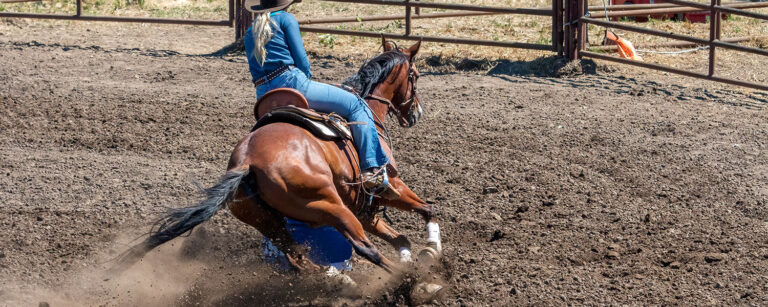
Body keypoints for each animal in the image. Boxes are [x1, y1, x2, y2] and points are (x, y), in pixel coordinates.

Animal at [111, 38, 440, 280]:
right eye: (415, 76)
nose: (415, 113)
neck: (369, 108)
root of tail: (247, 163)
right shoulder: (390, 186)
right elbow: (428, 209)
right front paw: (431, 251)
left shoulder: (364, 208)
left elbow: (402, 238)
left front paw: (414, 254)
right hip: (329, 207)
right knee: (363, 249)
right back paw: (411, 283)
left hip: (267, 220)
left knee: (298, 259)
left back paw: (341, 281)